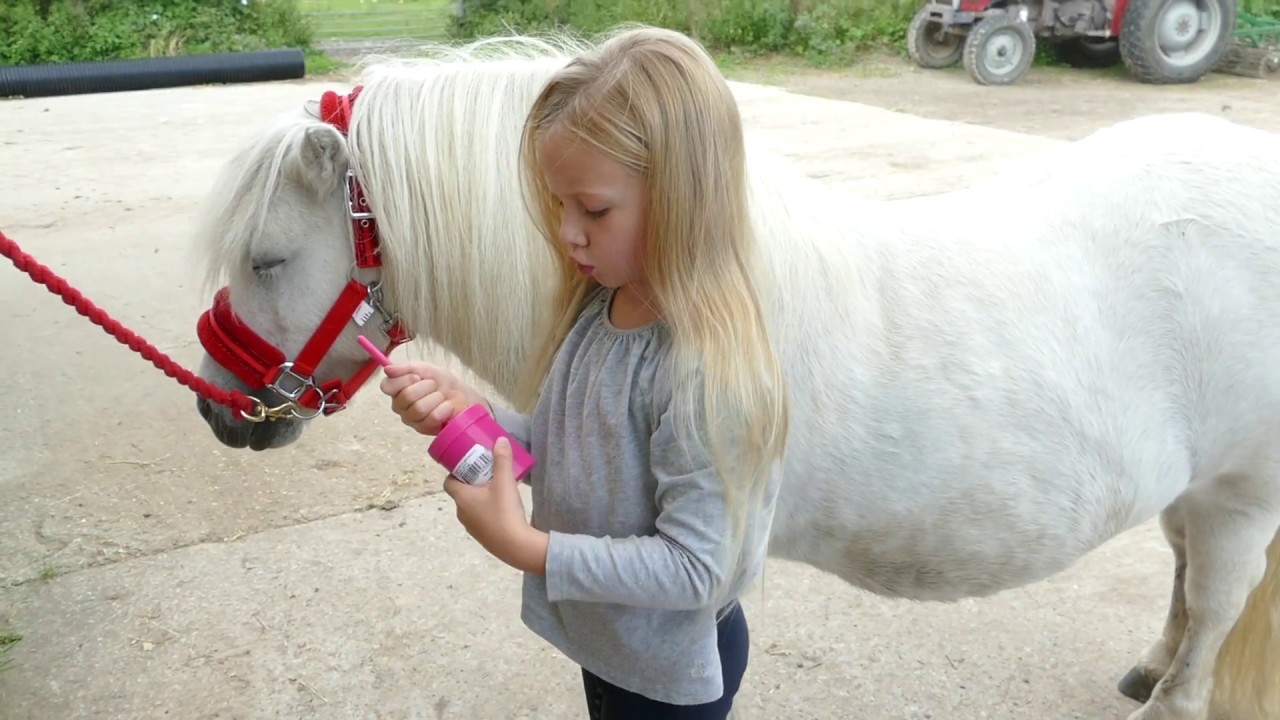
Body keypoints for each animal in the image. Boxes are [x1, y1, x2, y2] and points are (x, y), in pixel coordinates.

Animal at [188, 28, 1280, 720]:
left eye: (270, 260)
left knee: (1217, 604)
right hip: (1188, 487)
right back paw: (1148, 665)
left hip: (1240, 494)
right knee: (1183, 580)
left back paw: (1170, 697)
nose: (220, 410)